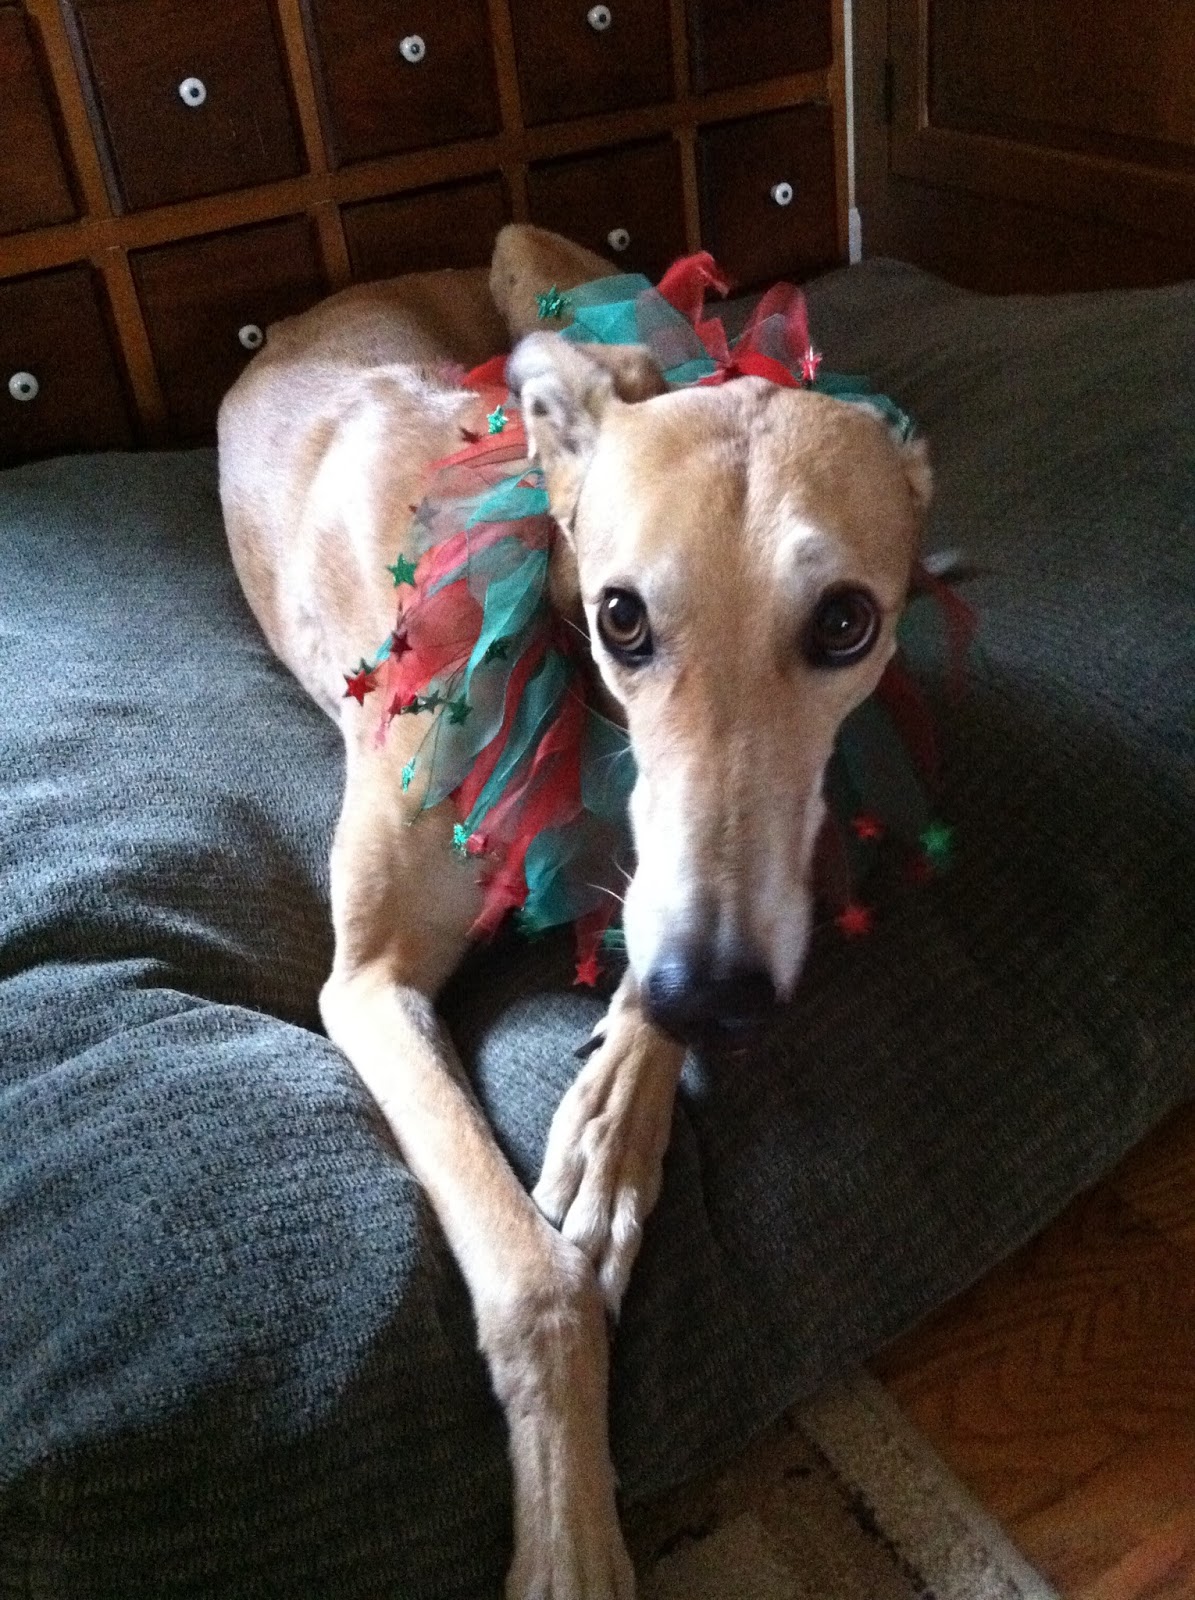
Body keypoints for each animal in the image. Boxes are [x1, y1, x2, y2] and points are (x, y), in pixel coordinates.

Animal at [218, 224, 931, 1599]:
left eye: (846, 621)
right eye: (622, 615)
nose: (717, 993)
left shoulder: (690, 866)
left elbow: (656, 912)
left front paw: (606, 1130)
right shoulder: (366, 979)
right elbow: (535, 1288)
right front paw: (570, 1540)